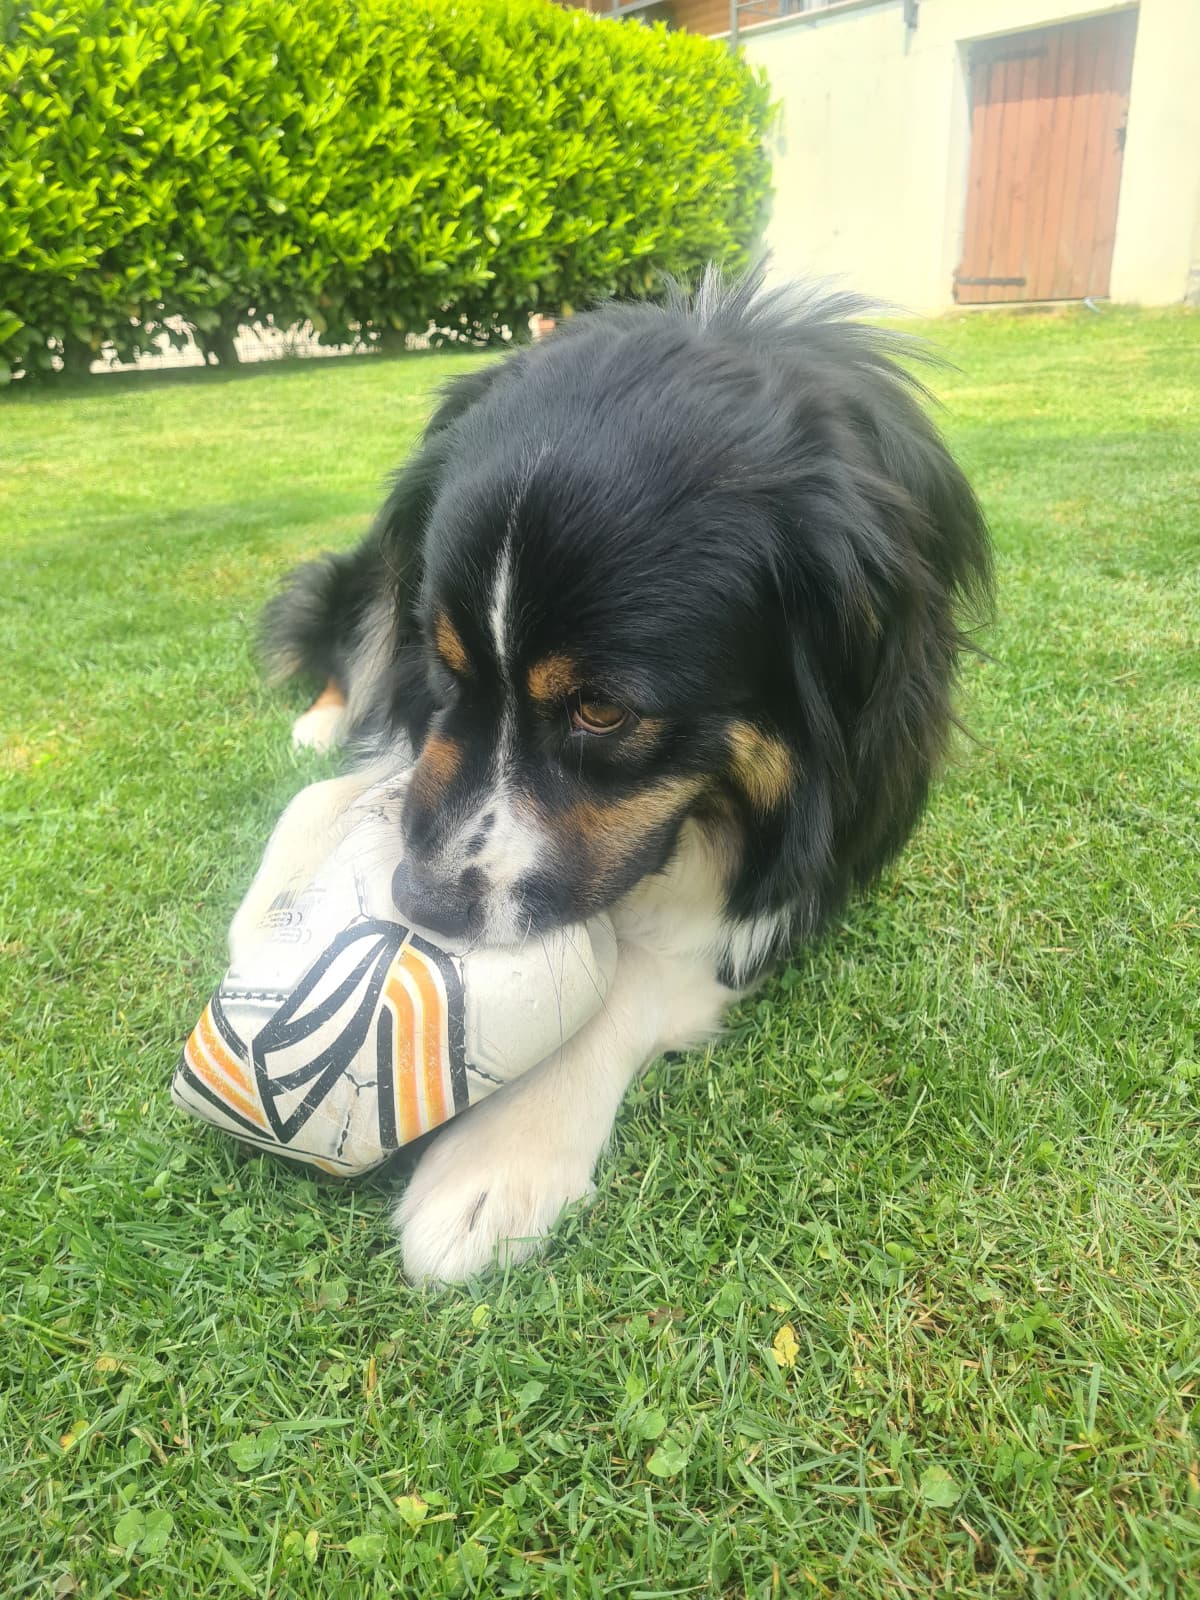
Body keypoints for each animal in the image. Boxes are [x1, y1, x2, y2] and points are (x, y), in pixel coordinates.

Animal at [249, 268, 992, 1280]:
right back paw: (320, 719)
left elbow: (634, 976)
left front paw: (492, 1162)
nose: (422, 903)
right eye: (444, 664)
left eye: (603, 712)